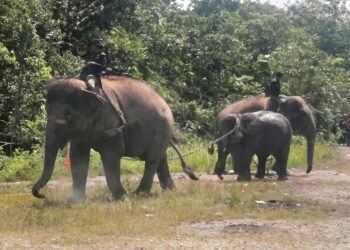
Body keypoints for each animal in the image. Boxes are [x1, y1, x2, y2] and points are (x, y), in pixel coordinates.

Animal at [31, 75, 197, 201]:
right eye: (46, 110)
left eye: (68, 114)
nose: (42, 195)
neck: (89, 89)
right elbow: (78, 157)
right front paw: (75, 201)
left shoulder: (113, 123)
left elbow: (111, 156)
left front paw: (122, 198)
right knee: (160, 158)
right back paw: (169, 190)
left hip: (162, 129)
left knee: (151, 160)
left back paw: (139, 195)